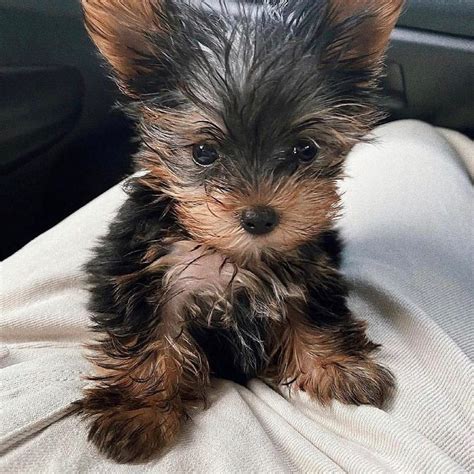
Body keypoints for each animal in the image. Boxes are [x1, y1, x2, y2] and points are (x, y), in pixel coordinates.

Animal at [78, 0, 404, 462]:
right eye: (203, 153)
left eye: (305, 150)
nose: (260, 218)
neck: (233, 253)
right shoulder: (142, 271)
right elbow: (149, 335)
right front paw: (137, 411)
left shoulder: (311, 266)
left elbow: (315, 312)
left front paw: (338, 366)